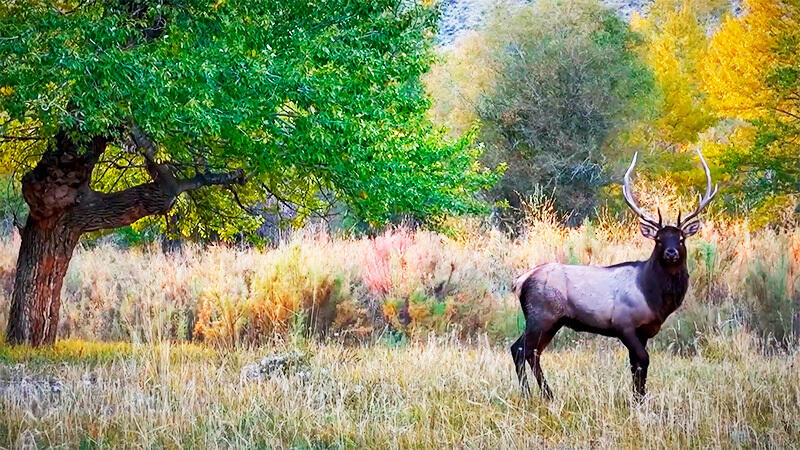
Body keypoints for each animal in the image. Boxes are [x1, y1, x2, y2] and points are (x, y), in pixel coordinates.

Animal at [510, 151, 720, 400]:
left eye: (681, 239)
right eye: (659, 239)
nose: (671, 252)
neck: (653, 297)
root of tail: (521, 281)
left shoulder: (644, 332)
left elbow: (636, 367)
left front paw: (638, 400)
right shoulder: (624, 324)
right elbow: (643, 361)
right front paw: (639, 400)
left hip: (551, 321)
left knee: (528, 351)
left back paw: (541, 394)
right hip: (541, 315)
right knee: (522, 349)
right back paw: (535, 394)